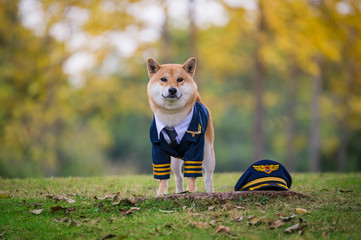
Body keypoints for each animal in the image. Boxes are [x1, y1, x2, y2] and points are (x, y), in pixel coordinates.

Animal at [146, 57, 214, 195]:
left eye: (180, 79)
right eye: (163, 79)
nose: (172, 90)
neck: (172, 118)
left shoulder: (195, 149)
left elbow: (192, 175)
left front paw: (191, 191)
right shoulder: (158, 148)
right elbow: (163, 177)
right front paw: (161, 193)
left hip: (208, 154)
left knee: (208, 177)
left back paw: (209, 192)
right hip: (175, 161)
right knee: (179, 177)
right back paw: (179, 192)